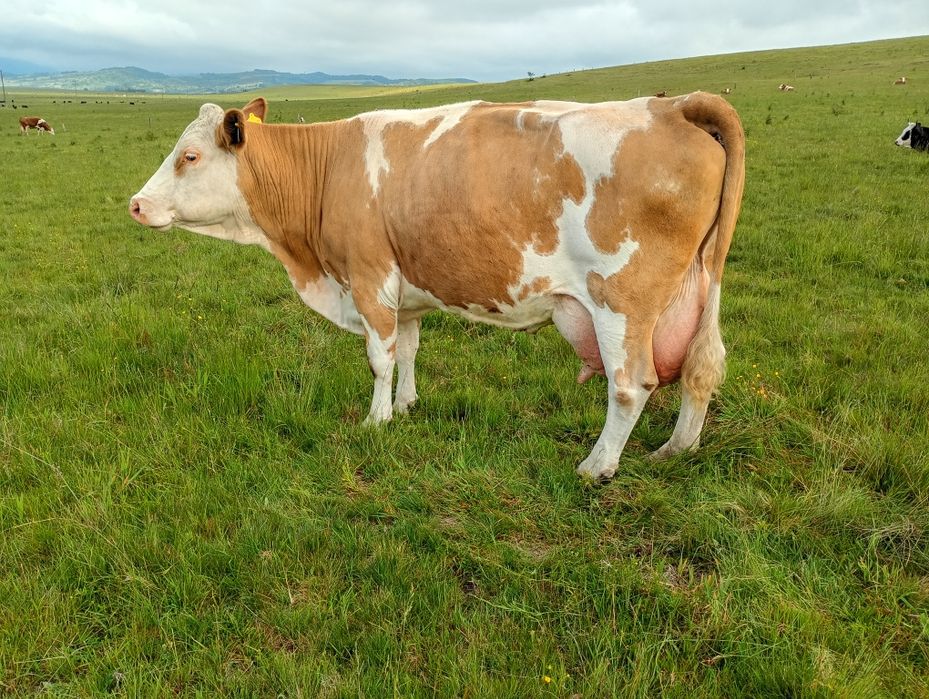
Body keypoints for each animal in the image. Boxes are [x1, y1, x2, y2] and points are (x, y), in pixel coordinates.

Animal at [129, 93, 745, 479]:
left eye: (189, 156)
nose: (135, 203)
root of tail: (671, 105)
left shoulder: (370, 277)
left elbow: (379, 357)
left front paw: (376, 420)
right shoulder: (404, 293)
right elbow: (407, 350)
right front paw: (405, 406)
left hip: (621, 301)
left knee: (631, 384)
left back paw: (597, 466)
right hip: (698, 287)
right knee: (700, 370)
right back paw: (676, 449)